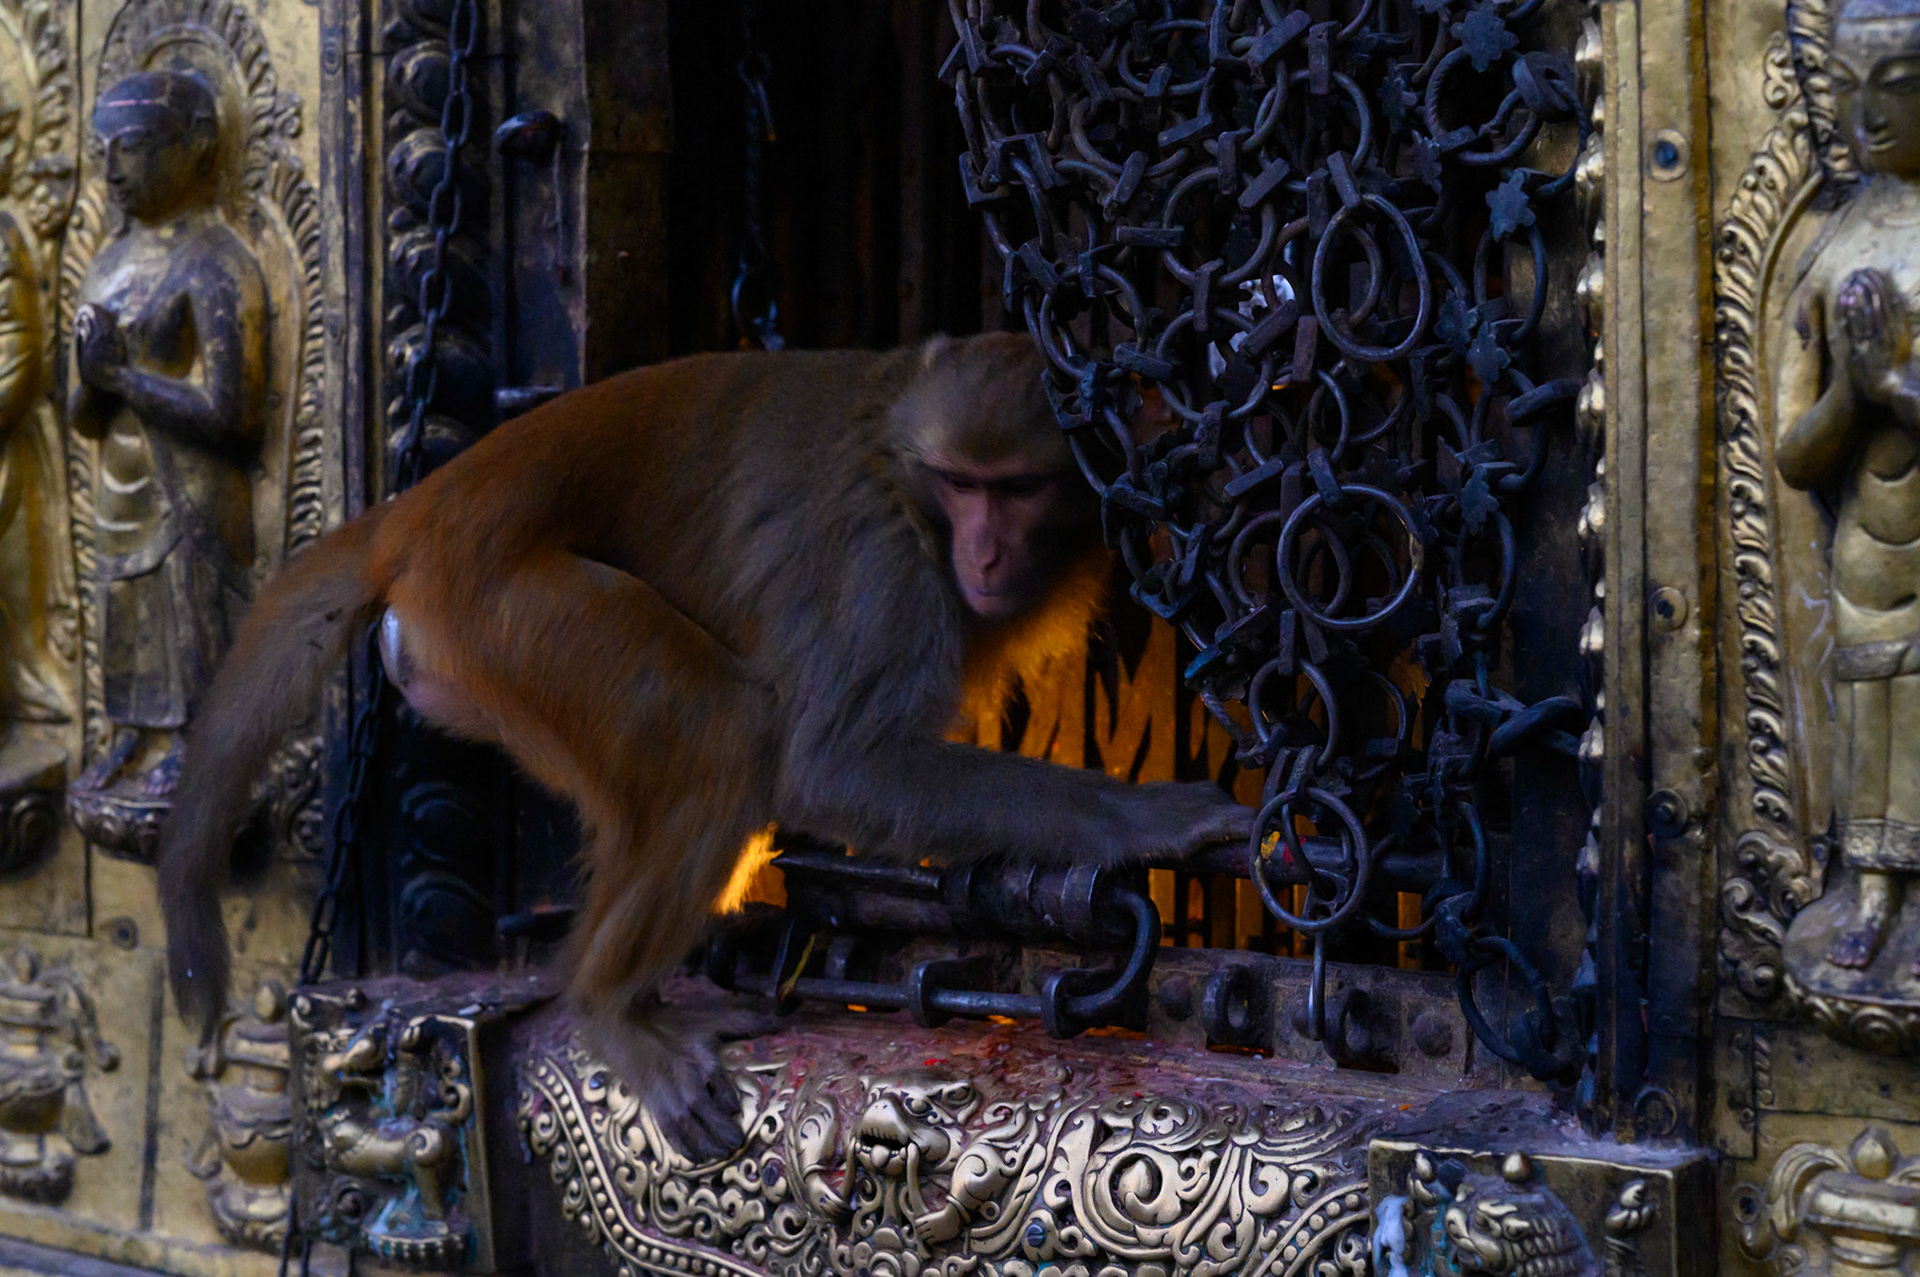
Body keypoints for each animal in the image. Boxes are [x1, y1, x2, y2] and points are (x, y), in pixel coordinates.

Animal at [158, 332, 1251, 1158]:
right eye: (960, 484)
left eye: (1017, 488)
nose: (983, 554)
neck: (904, 474)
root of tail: (421, 511)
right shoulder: (884, 568)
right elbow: (834, 765)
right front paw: (1153, 819)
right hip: (515, 615)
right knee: (728, 734)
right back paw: (609, 1004)